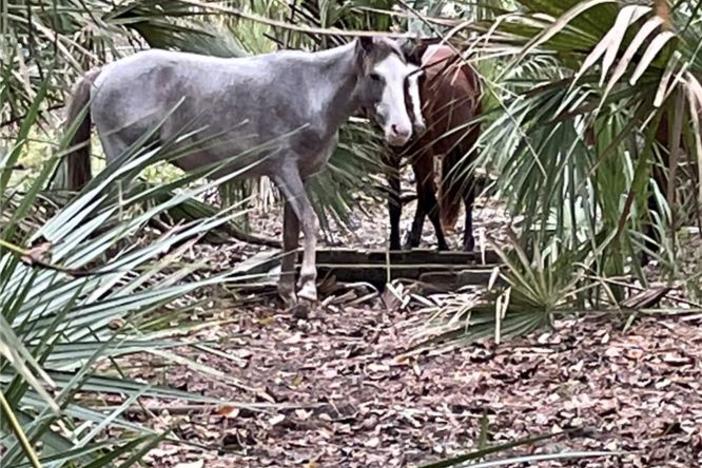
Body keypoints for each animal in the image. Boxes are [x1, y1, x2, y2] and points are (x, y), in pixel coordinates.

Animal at [63, 38, 424, 306]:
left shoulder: (301, 176)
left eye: (406, 77)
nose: (402, 130)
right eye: (376, 76)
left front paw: (287, 292)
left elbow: (291, 231)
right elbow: (310, 221)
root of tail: (105, 72)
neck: (310, 89)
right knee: (109, 215)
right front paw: (307, 288)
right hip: (123, 162)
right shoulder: (285, 170)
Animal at [390, 42, 484, 250]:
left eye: (422, 79)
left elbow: (431, 202)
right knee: (423, 193)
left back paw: (468, 241)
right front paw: (394, 246)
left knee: (467, 191)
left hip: (467, 145)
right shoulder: (387, 156)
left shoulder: (423, 152)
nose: (419, 126)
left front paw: (443, 246)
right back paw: (413, 239)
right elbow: (395, 203)